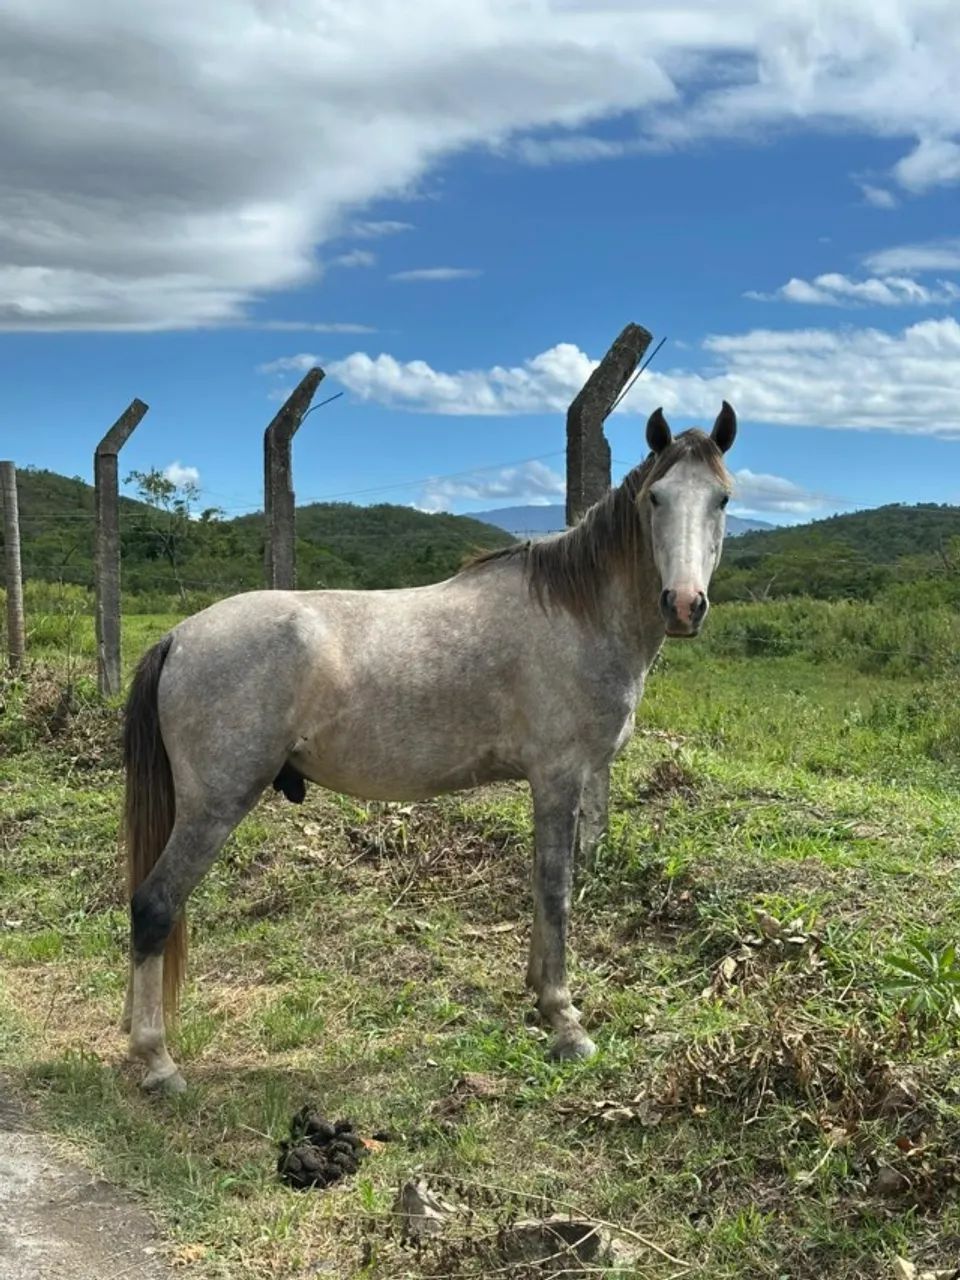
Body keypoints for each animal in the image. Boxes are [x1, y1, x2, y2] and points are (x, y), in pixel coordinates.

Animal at [121, 402, 737, 1093]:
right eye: (656, 497)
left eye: (721, 499)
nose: (683, 605)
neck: (576, 612)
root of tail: (179, 636)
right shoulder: (560, 778)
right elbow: (556, 888)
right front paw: (563, 1019)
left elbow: (540, 885)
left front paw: (537, 994)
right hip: (214, 807)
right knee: (154, 906)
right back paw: (157, 1061)